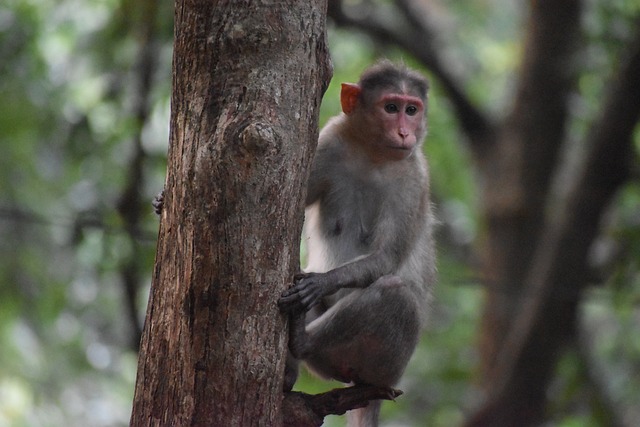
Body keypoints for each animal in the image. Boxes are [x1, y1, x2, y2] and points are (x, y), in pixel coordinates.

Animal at [278, 62, 436, 427]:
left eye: (412, 110)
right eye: (391, 107)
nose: (405, 133)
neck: (373, 154)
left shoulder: (414, 179)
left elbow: (386, 258)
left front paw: (322, 282)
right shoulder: (332, 140)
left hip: (387, 365)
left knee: (395, 293)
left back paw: (302, 340)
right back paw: (290, 373)